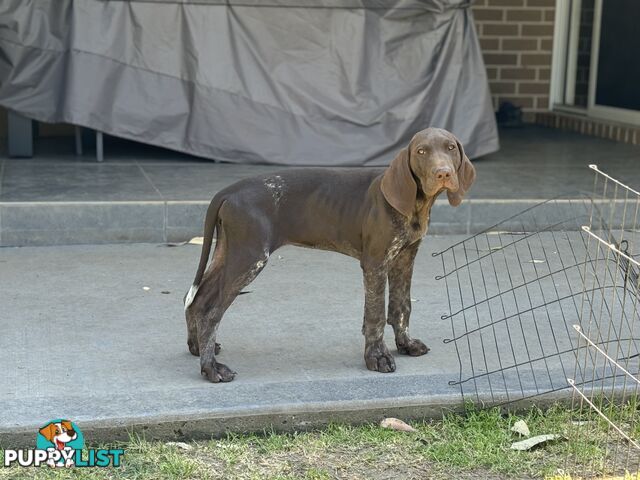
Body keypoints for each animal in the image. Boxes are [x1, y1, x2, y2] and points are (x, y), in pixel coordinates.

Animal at [185, 127, 476, 382]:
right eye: (421, 151)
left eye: (450, 148)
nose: (443, 173)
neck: (415, 204)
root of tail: (229, 191)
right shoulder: (375, 263)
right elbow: (376, 315)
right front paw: (377, 357)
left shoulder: (404, 259)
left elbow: (401, 307)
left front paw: (405, 343)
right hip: (250, 258)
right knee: (211, 313)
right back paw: (211, 369)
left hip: (230, 253)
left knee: (197, 301)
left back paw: (197, 348)